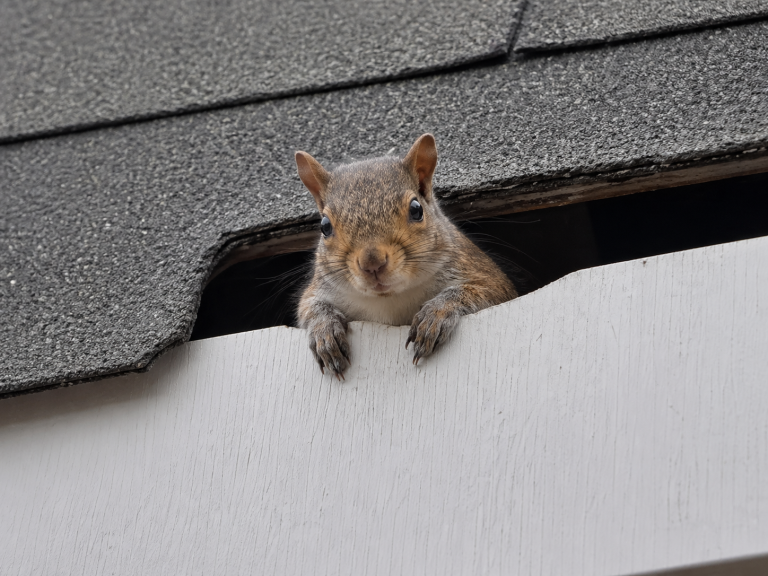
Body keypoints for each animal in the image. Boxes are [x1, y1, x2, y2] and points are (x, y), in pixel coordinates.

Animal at [294, 133, 517, 378]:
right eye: (325, 226)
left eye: (416, 210)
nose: (372, 263)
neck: (391, 299)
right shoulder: (321, 288)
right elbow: (309, 306)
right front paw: (324, 332)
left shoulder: (480, 272)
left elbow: (482, 291)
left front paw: (436, 314)